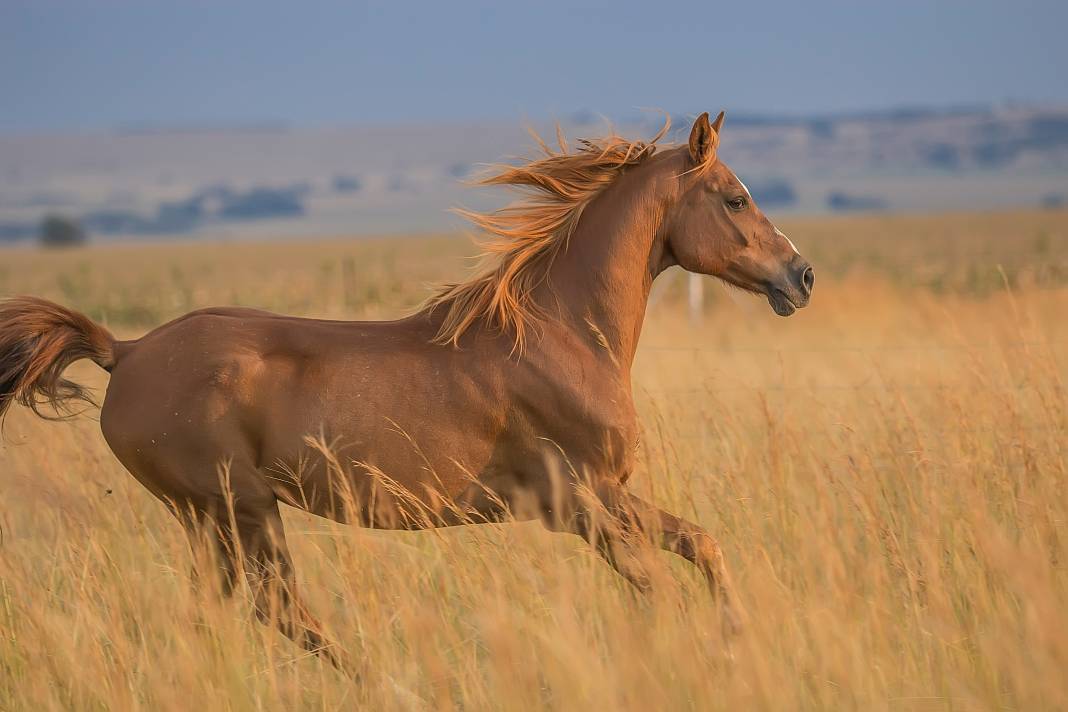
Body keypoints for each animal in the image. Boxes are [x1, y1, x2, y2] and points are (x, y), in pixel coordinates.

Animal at [0, 111, 811, 670]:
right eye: (735, 199)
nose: (800, 276)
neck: (561, 334)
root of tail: (126, 351)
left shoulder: (607, 497)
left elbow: (702, 545)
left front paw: (736, 636)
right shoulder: (581, 503)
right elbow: (659, 585)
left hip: (214, 519)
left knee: (230, 611)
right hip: (236, 508)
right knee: (279, 609)